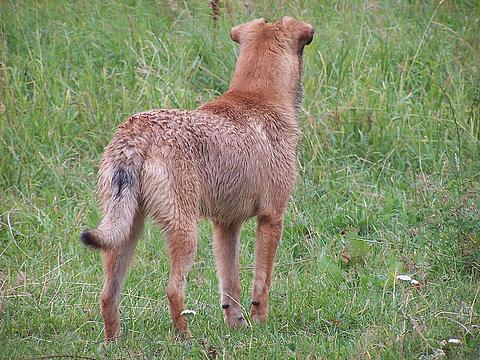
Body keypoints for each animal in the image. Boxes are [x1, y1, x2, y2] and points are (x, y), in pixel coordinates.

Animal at [81, 16, 316, 338]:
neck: (259, 98)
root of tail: (136, 131)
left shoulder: (226, 225)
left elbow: (230, 287)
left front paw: (237, 327)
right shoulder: (272, 217)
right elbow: (261, 284)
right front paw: (261, 326)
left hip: (126, 233)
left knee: (107, 295)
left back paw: (113, 342)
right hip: (186, 233)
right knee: (172, 291)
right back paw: (187, 339)